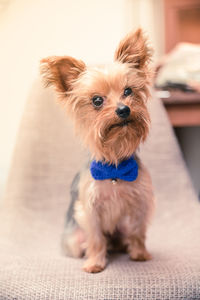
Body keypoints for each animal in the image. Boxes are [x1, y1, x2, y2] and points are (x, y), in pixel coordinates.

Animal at [39, 29, 154, 274]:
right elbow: (96, 238)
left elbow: (137, 231)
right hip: (73, 238)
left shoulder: (140, 202)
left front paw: (140, 254)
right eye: (97, 100)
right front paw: (94, 263)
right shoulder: (89, 211)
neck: (115, 169)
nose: (124, 109)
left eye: (128, 91)